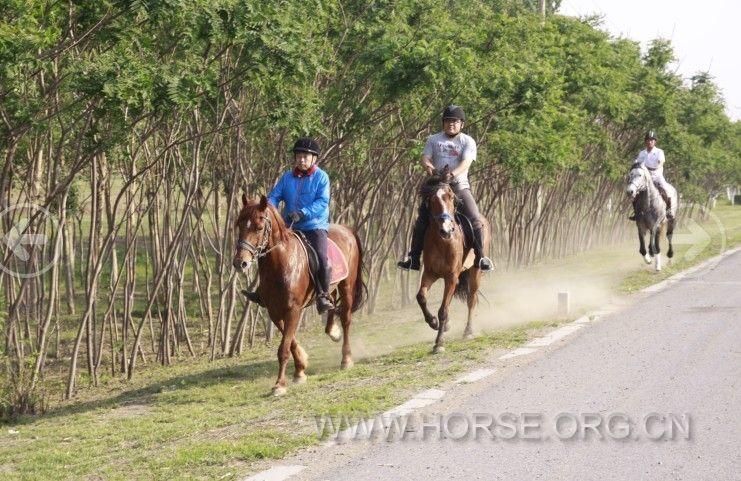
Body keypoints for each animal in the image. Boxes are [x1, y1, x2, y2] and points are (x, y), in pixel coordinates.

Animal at [233, 193, 366, 396]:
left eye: (259, 227)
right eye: (239, 224)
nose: (241, 263)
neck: (282, 264)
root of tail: (346, 229)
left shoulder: (293, 310)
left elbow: (284, 348)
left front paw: (280, 385)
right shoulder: (275, 312)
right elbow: (291, 342)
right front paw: (300, 369)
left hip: (347, 285)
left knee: (346, 318)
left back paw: (346, 359)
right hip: (332, 287)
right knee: (331, 304)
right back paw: (333, 331)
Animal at [414, 172, 488, 352]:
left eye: (451, 198)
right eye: (432, 199)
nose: (446, 230)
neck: (443, 242)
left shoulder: (451, 277)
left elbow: (443, 310)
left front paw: (439, 343)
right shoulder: (430, 273)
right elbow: (421, 297)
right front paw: (433, 322)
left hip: (475, 272)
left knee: (471, 300)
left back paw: (468, 331)